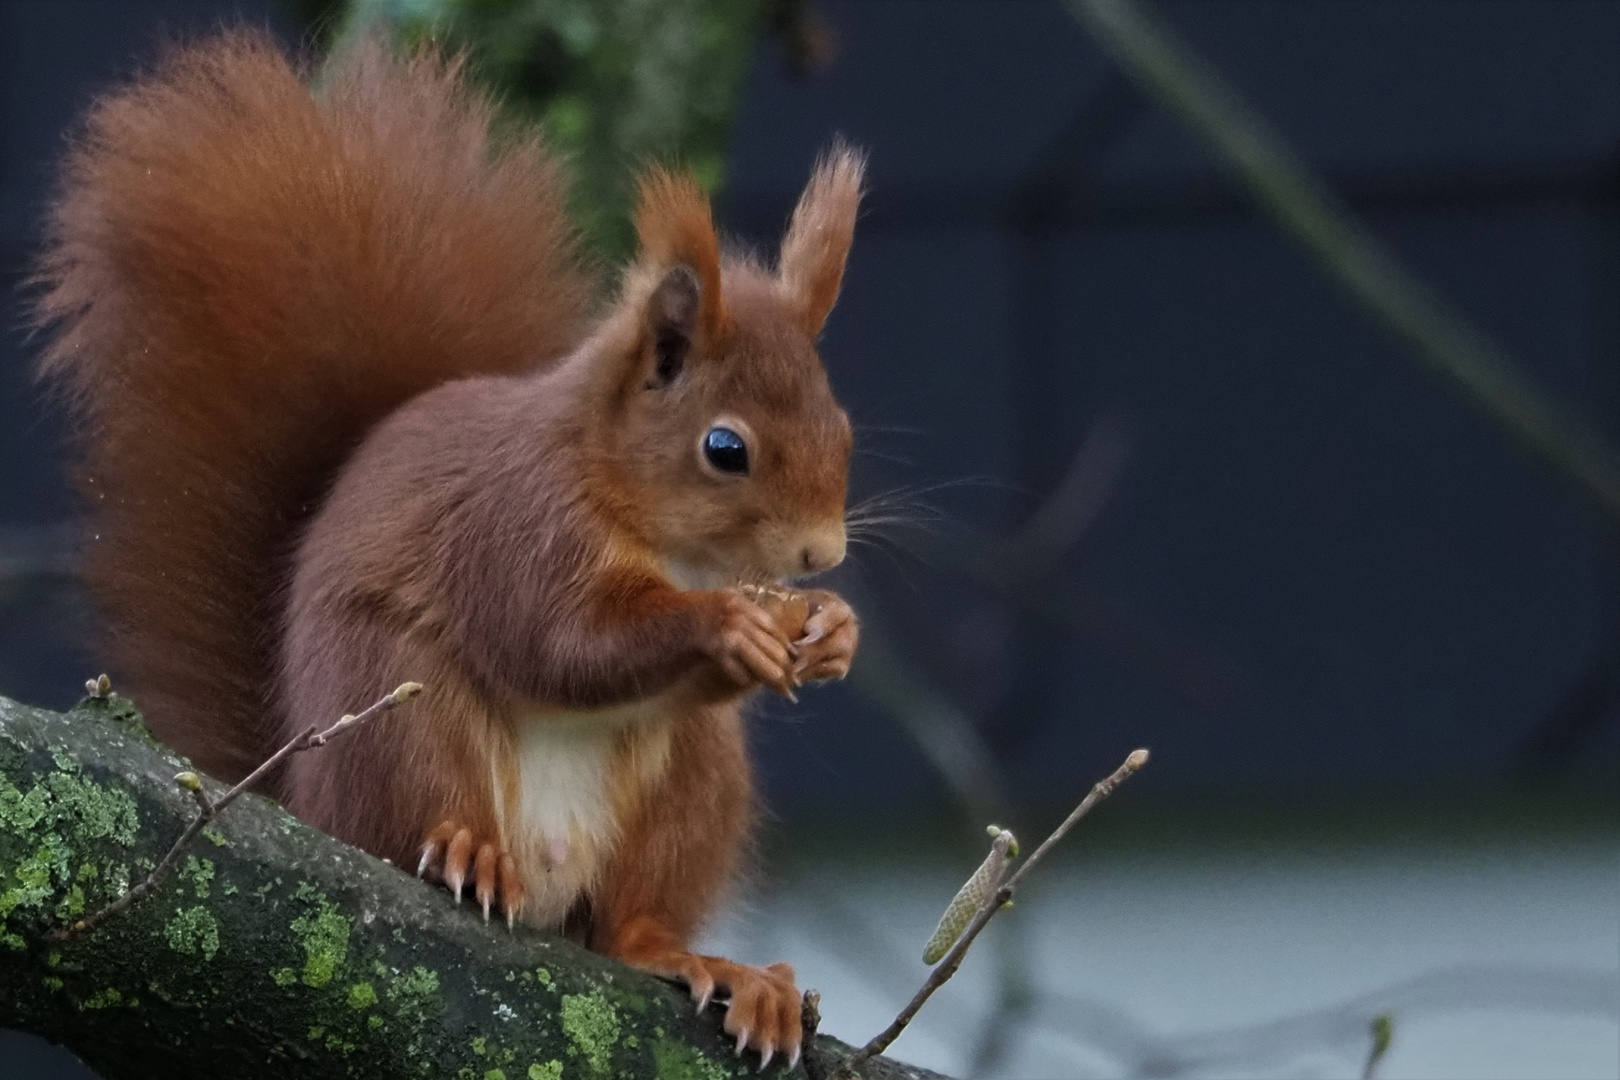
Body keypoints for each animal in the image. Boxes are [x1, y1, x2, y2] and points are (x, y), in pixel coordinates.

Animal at [34, 29, 861, 1068]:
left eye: (843, 429)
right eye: (725, 448)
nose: (821, 553)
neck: (660, 540)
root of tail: (306, 800)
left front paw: (832, 629)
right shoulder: (515, 529)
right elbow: (560, 644)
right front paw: (725, 624)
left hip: (692, 784)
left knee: (628, 929)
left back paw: (714, 967)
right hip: (399, 714)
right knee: (421, 817)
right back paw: (470, 853)